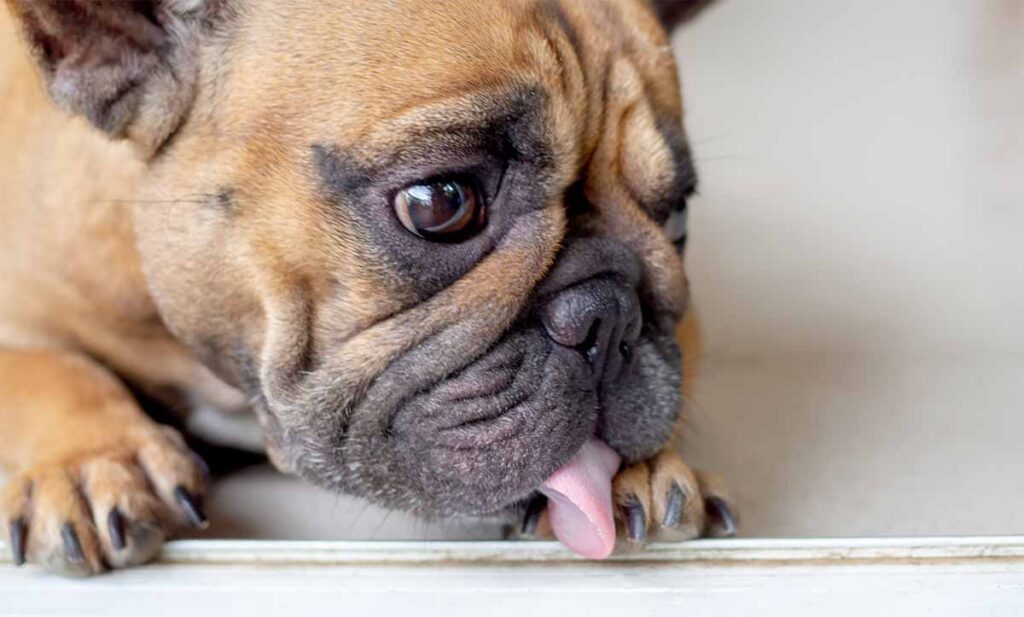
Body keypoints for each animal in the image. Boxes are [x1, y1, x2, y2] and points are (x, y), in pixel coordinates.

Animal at [2, 1, 737, 581]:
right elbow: (45, 366)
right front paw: (95, 457)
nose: (609, 317)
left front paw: (645, 469)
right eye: (440, 202)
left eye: (676, 219)